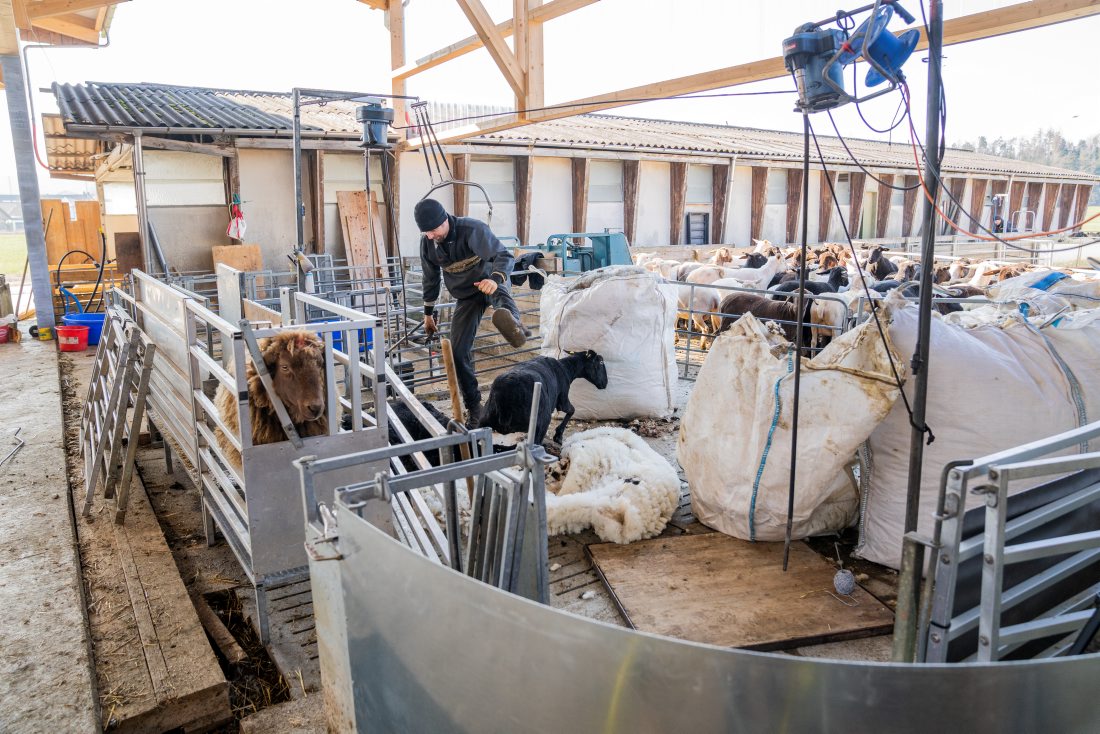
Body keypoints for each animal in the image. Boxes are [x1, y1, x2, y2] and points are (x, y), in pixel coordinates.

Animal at [479, 352, 611, 448]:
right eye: (600, 361)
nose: (605, 383)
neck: (566, 368)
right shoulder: (562, 399)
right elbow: (572, 410)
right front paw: (558, 436)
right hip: (540, 424)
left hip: (483, 422)